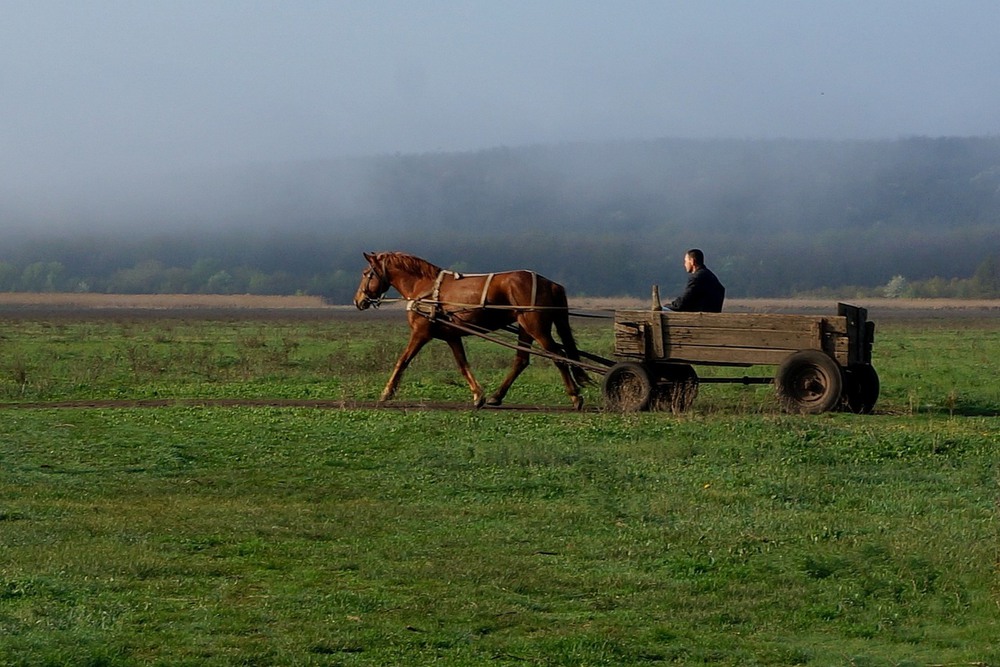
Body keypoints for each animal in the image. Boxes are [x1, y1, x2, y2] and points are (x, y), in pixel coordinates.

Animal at [354, 250, 588, 408]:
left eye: (366, 273)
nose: (358, 301)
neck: (425, 288)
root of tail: (550, 283)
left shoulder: (421, 333)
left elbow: (402, 361)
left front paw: (386, 392)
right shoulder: (452, 336)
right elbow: (462, 365)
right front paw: (478, 394)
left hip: (536, 328)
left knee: (558, 357)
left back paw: (575, 395)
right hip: (525, 329)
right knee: (521, 360)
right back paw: (496, 396)